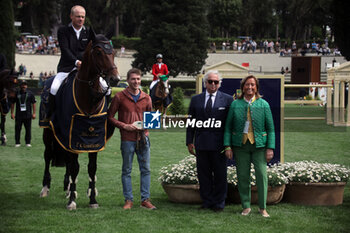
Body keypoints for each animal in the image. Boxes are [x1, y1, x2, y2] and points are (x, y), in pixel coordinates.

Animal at [39, 30, 119, 210]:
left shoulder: (94, 139)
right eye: (98, 52)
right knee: (48, 156)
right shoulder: (73, 136)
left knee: (68, 163)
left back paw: (69, 187)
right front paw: (72, 202)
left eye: (113, 52)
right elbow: (75, 167)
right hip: (48, 132)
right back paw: (45, 188)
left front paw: (92, 199)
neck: (89, 98)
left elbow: (91, 168)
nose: (115, 79)